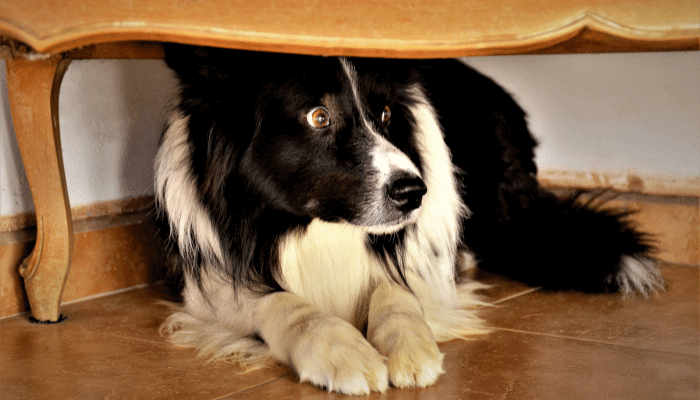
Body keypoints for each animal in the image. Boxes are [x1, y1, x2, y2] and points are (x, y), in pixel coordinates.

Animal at [156, 45, 664, 396]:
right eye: (318, 117)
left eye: (384, 113)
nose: (413, 192)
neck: (317, 229)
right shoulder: (210, 287)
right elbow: (282, 303)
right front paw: (342, 351)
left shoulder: (411, 256)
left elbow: (396, 292)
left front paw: (409, 346)